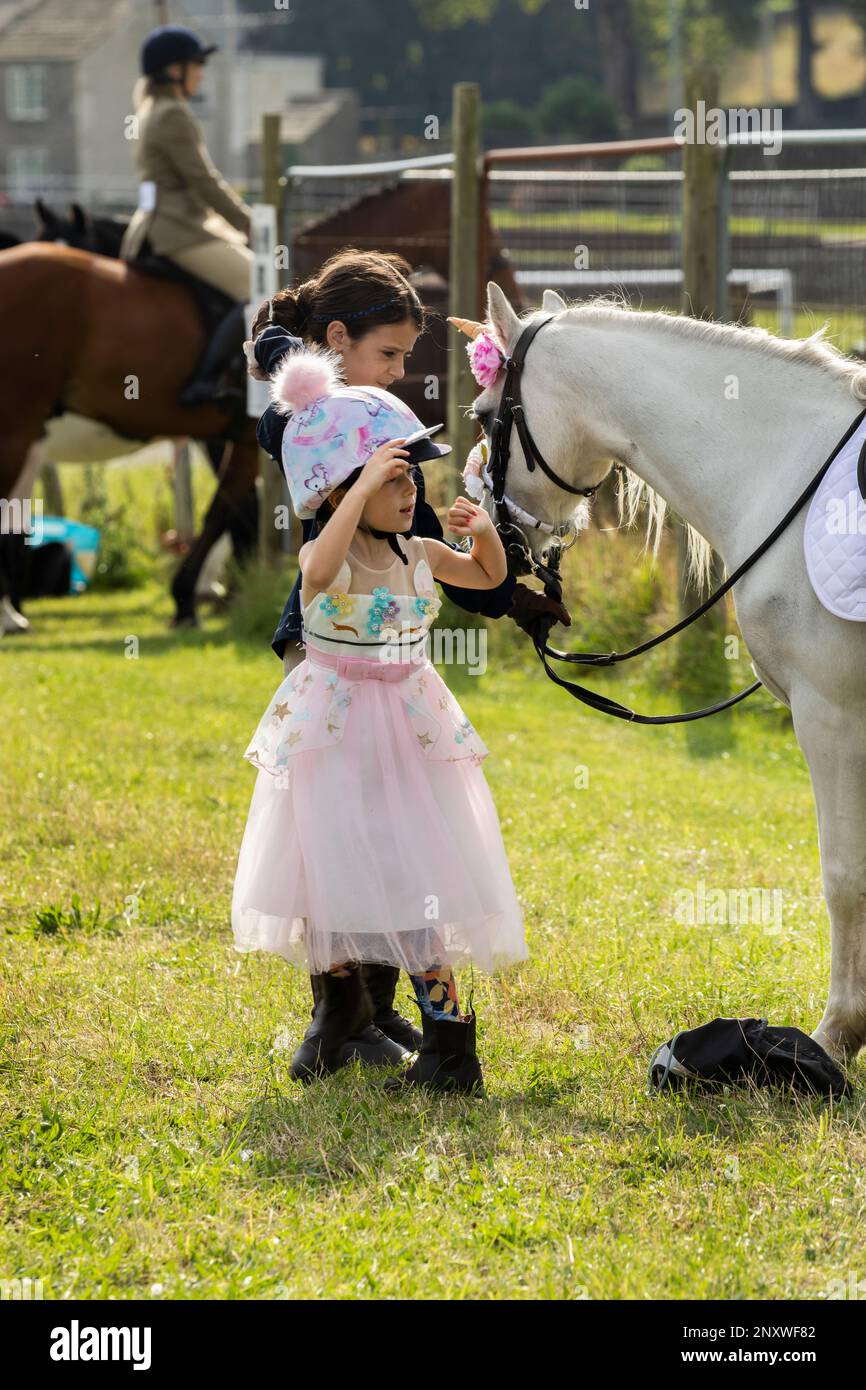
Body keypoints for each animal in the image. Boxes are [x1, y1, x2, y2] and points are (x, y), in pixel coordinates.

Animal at [0, 243, 258, 625]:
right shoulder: (245, 436)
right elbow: (225, 512)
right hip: (16, 432)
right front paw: (191, 599)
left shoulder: (240, 437)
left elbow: (226, 510)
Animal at [469, 282, 866, 1061]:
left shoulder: (831, 717)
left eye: (482, 413)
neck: (788, 471)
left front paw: (838, 1035)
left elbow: (844, 876)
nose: (488, 528)